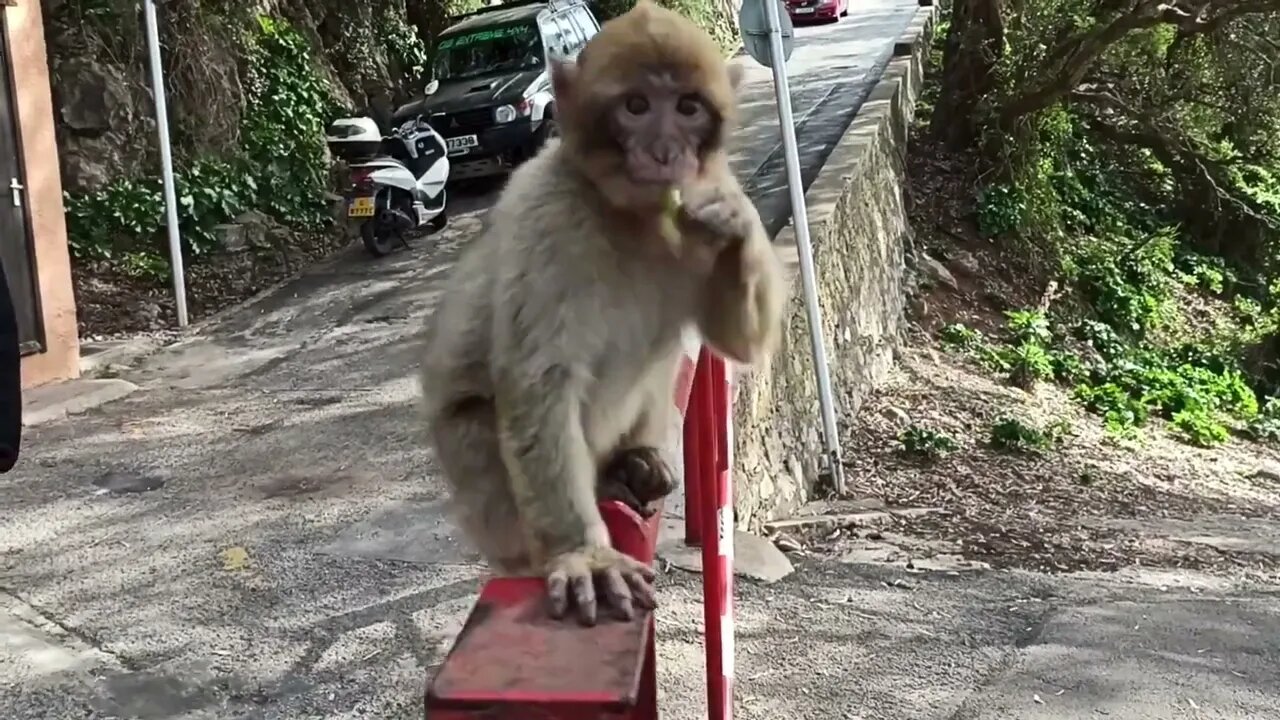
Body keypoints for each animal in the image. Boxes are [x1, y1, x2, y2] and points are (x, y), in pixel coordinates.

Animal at [414, 0, 783, 622]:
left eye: (687, 107)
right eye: (636, 107)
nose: (664, 152)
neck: (630, 215)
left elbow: (734, 340)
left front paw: (735, 220)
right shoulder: (548, 218)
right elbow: (540, 383)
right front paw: (584, 555)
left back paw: (635, 461)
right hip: (492, 513)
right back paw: (604, 487)